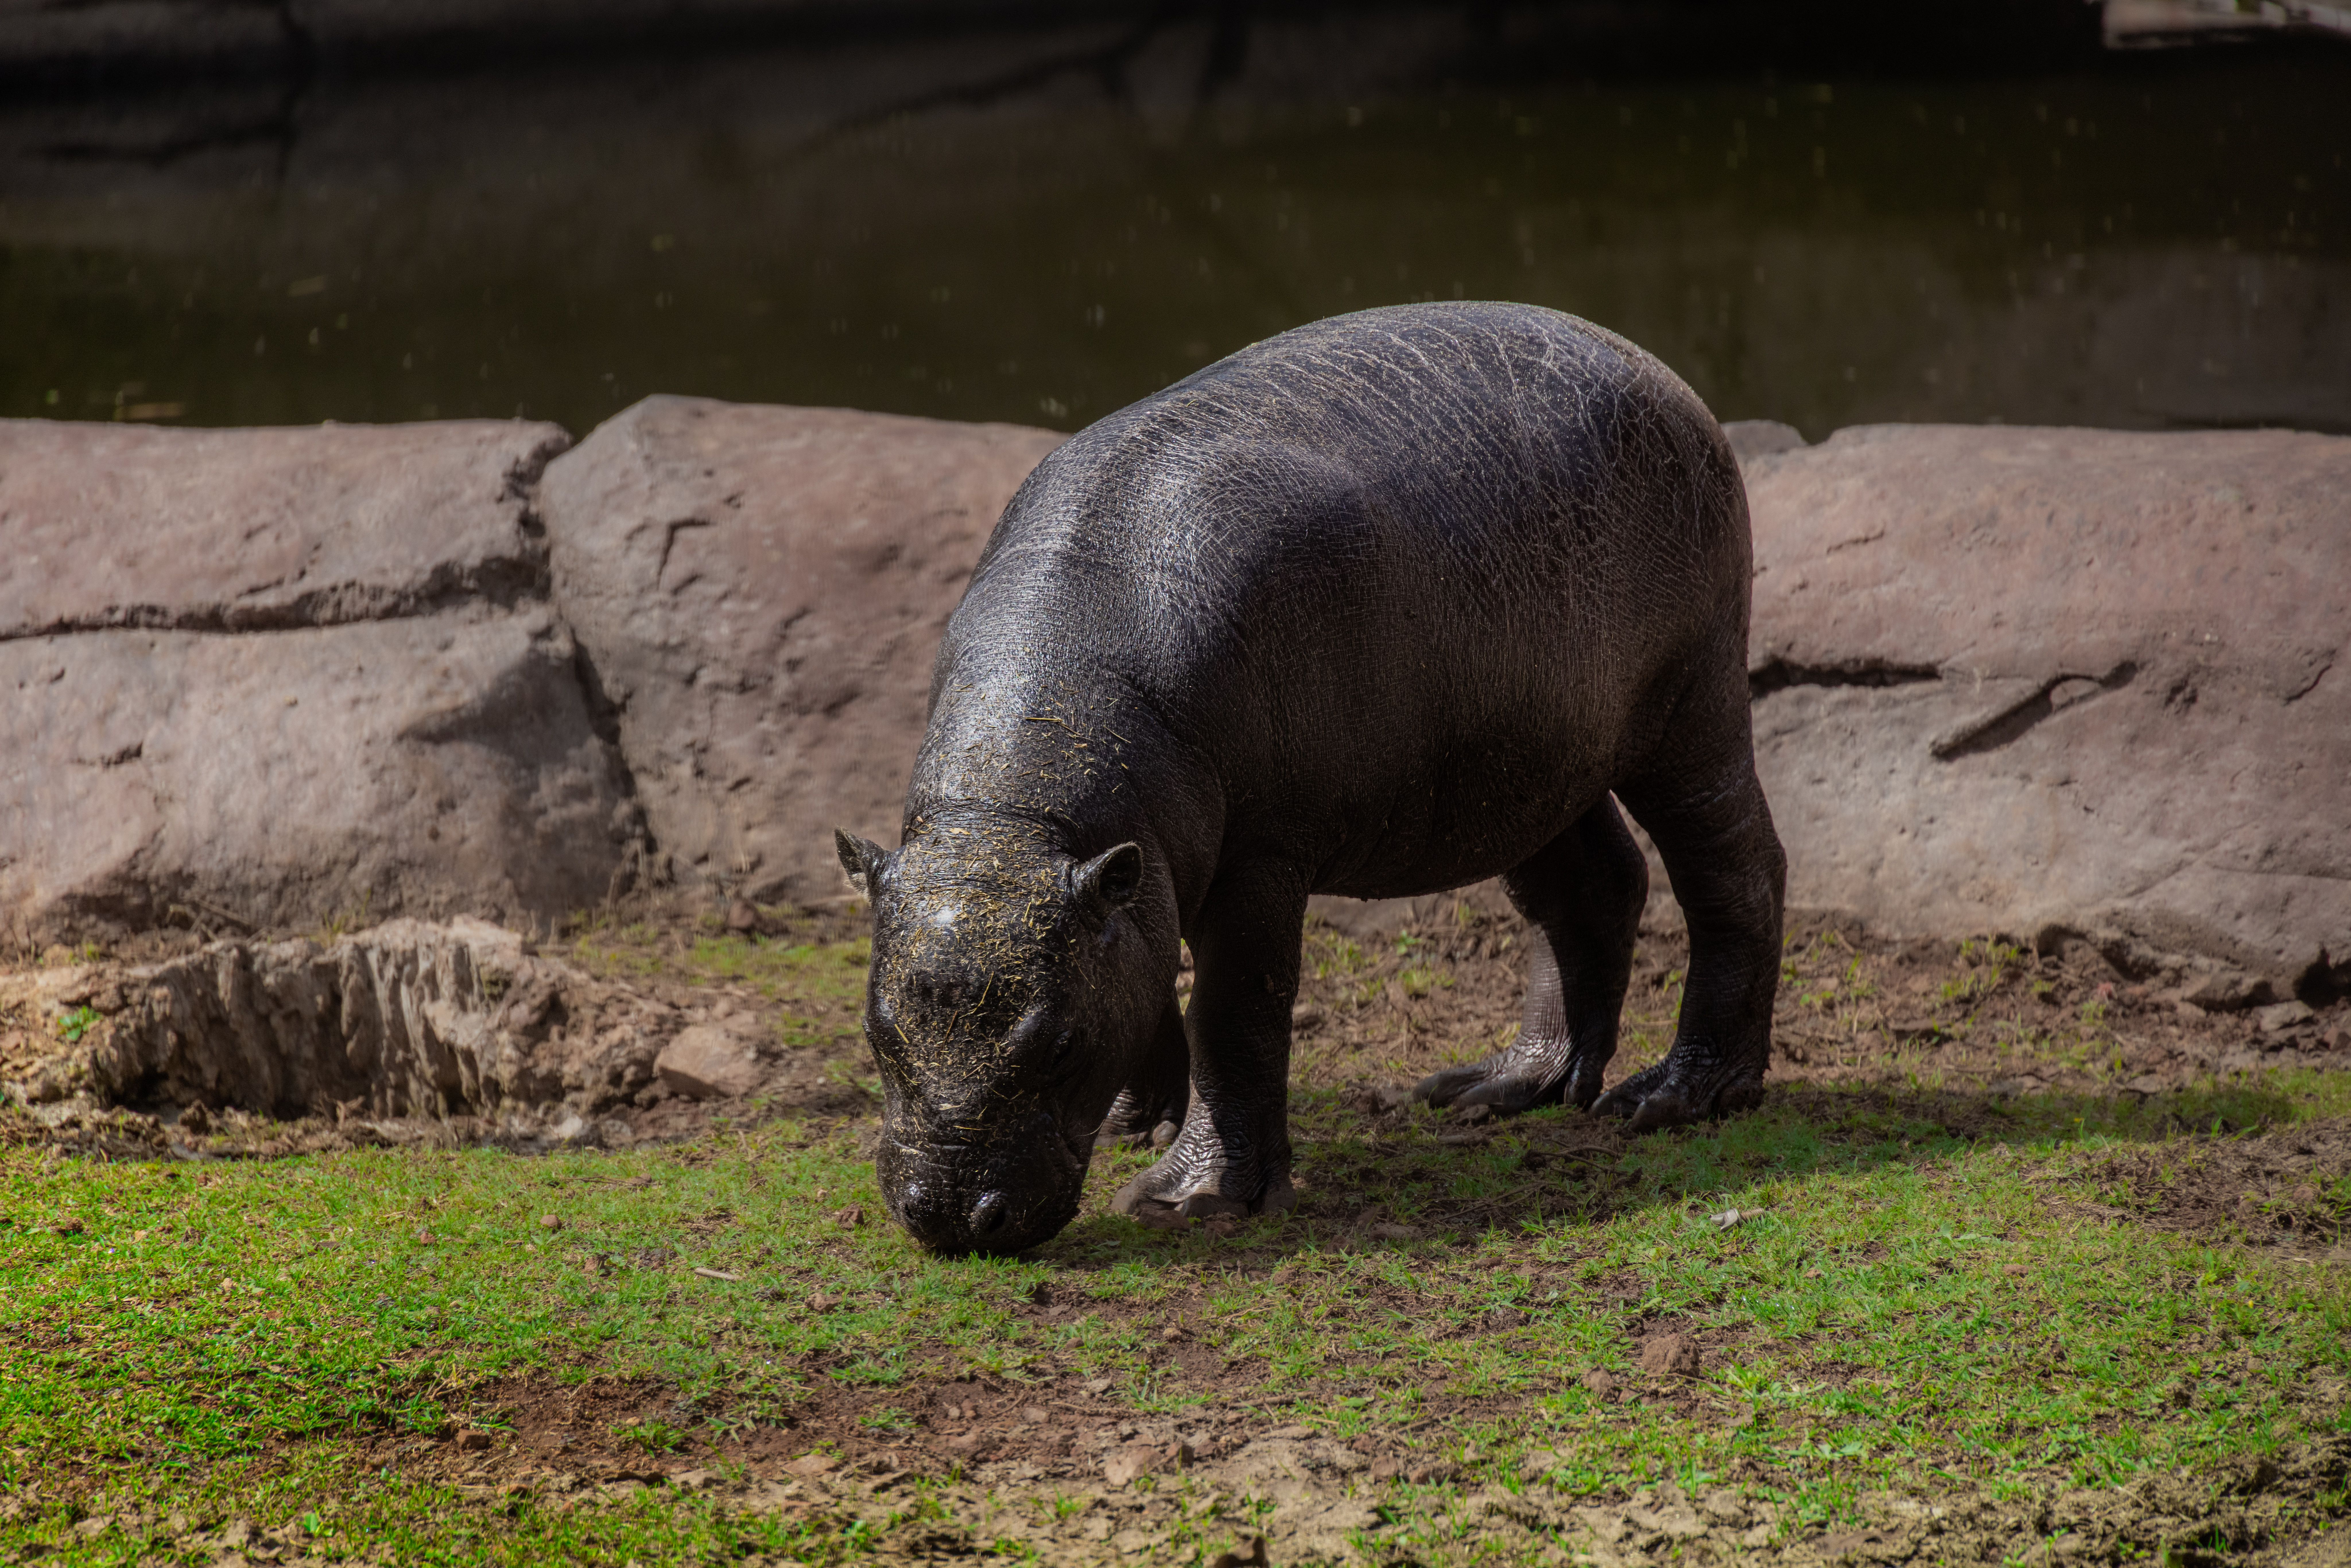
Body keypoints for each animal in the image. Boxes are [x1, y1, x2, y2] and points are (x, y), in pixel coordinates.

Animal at [834, 301, 1786, 1256]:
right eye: (879, 1033)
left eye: (1058, 1045)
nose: (951, 1218)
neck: (1023, 815)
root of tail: (1656, 368)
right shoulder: (1123, 879)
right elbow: (1143, 976)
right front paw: (1139, 1127)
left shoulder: (1262, 857)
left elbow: (1232, 1011)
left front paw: (1189, 1198)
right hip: (1532, 758)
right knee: (1591, 889)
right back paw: (1500, 1089)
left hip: (1690, 701)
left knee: (1734, 869)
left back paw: (1675, 1098)